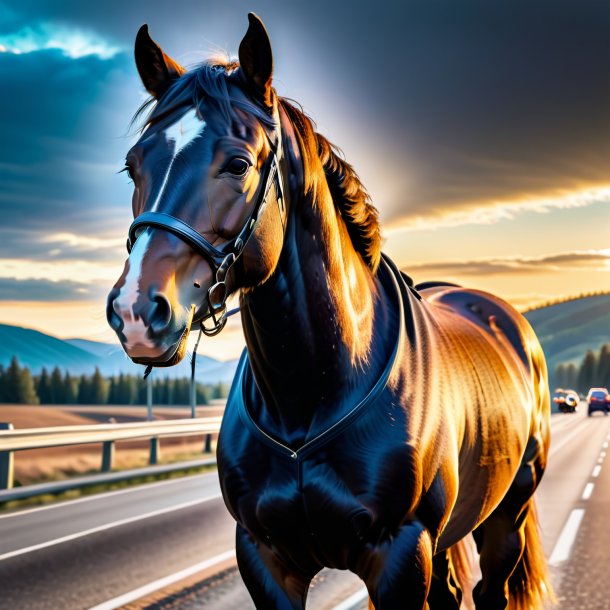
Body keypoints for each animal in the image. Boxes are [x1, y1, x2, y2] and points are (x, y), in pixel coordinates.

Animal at [107, 14, 552, 608]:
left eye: (239, 163)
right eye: (133, 167)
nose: (136, 310)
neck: (311, 394)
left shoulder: (400, 555)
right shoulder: (265, 559)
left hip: (507, 515)